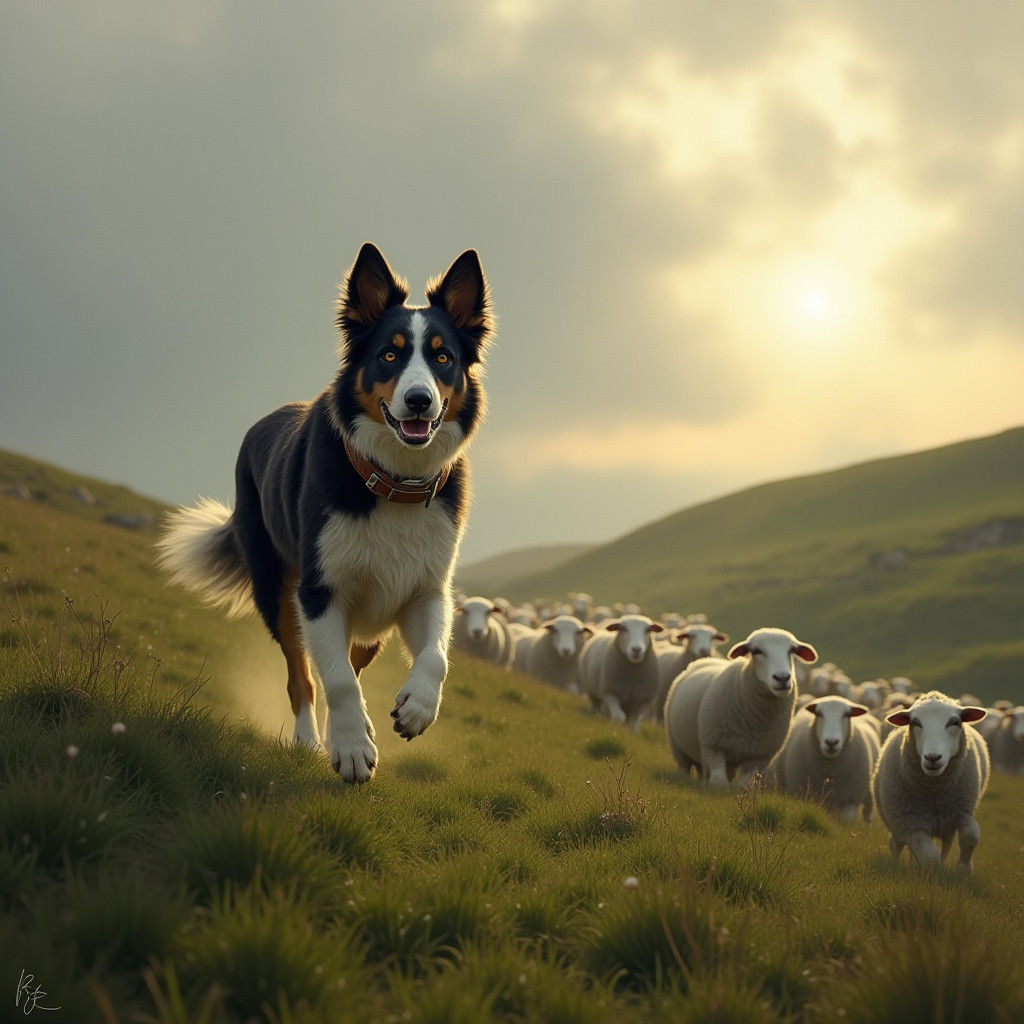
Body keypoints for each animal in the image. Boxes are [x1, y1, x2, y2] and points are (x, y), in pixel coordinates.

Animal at [664, 627, 818, 789]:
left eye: (792, 650)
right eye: (757, 651)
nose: (782, 678)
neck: (755, 722)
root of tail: (704, 660)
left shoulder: (760, 757)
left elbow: (744, 785)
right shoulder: (713, 747)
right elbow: (718, 781)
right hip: (678, 747)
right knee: (685, 767)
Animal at [871, 691, 989, 872]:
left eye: (954, 722)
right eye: (915, 722)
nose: (933, 757)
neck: (935, 793)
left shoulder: (962, 811)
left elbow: (971, 835)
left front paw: (964, 869)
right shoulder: (912, 824)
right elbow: (929, 856)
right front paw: (933, 873)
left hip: (946, 825)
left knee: (946, 845)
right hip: (898, 824)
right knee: (895, 844)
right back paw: (896, 864)